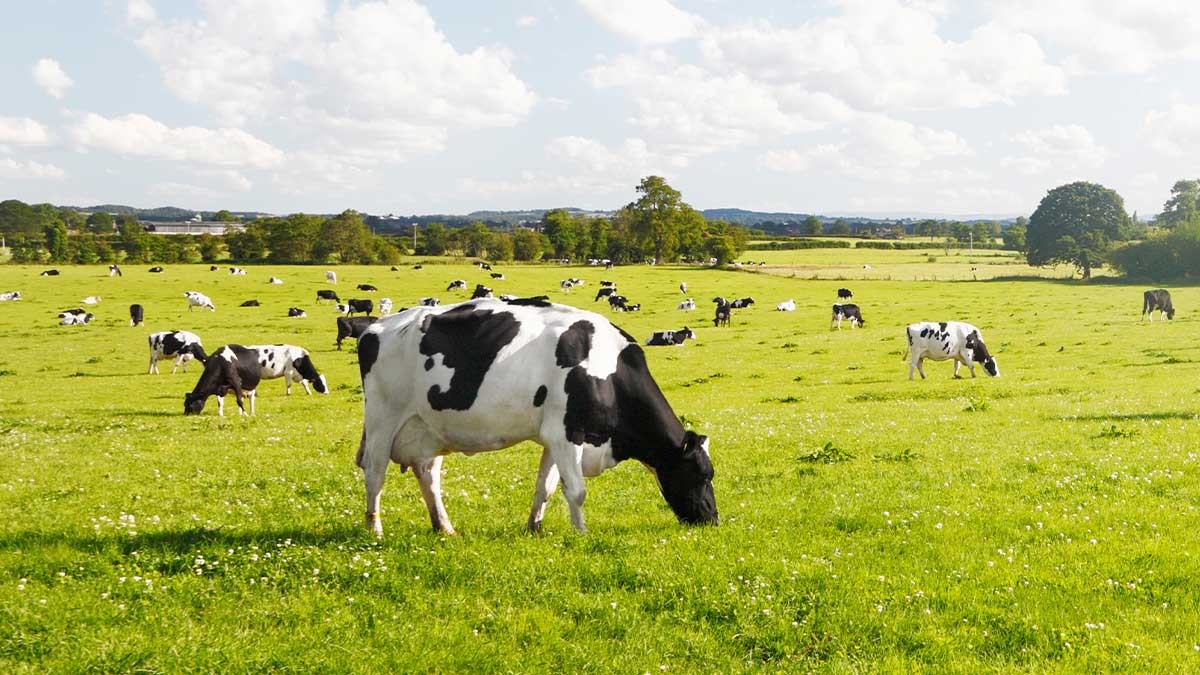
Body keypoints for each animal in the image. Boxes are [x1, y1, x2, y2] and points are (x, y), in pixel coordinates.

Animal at [350, 296, 715, 533]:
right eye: (701, 474)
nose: (713, 520)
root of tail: (376, 327)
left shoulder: (555, 436)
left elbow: (546, 487)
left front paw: (534, 528)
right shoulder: (568, 433)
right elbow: (576, 490)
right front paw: (581, 534)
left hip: (428, 427)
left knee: (428, 474)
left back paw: (445, 528)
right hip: (383, 420)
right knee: (374, 474)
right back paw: (374, 530)